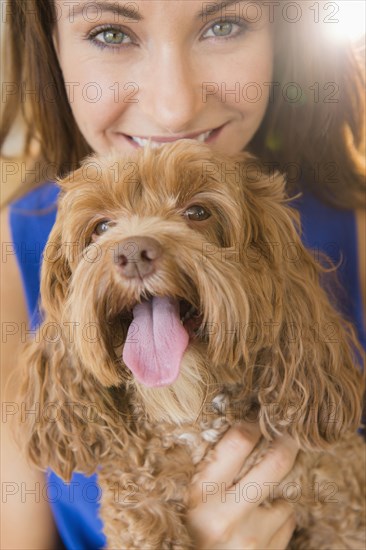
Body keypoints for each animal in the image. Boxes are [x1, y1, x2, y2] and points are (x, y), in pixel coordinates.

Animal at [17, 140, 366, 548]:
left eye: (198, 212)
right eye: (101, 226)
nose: (132, 252)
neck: (193, 420)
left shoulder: (341, 505)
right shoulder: (136, 509)